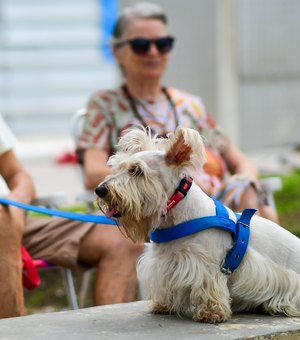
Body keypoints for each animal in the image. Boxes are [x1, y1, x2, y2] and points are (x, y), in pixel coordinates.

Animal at [95, 126, 300, 322]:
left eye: (137, 170)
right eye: (117, 167)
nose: (100, 190)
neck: (175, 216)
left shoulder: (207, 266)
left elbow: (209, 287)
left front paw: (212, 313)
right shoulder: (163, 264)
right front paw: (163, 305)